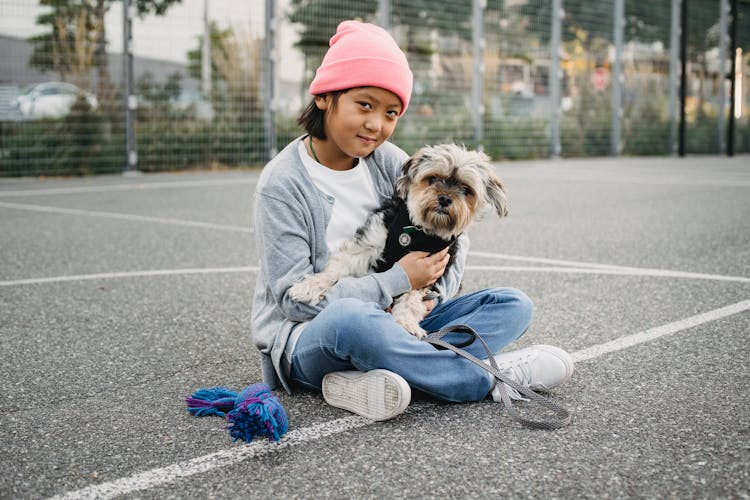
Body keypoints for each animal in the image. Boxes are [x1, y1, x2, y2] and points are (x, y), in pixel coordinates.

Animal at [290, 145, 508, 340]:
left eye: (465, 189)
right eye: (433, 179)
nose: (445, 199)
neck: (419, 231)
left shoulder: (427, 274)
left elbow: (410, 299)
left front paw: (406, 324)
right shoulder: (372, 241)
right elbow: (338, 267)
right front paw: (307, 287)